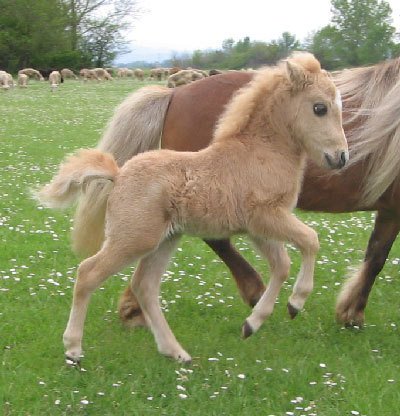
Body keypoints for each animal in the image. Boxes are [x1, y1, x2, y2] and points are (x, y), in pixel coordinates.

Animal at [34, 52, 346, 364]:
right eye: (320, 108)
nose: (340, 158)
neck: (261, 152)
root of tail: (118, 174)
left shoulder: (259, 227)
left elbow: (281, 265)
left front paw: (253, 324)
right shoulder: (267, 217)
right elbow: (310, 240)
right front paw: (296, 302)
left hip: (166, 239)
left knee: (145, 286)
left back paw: (175, 351)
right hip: (133, 239)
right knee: (88, 273)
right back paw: (73, 348)